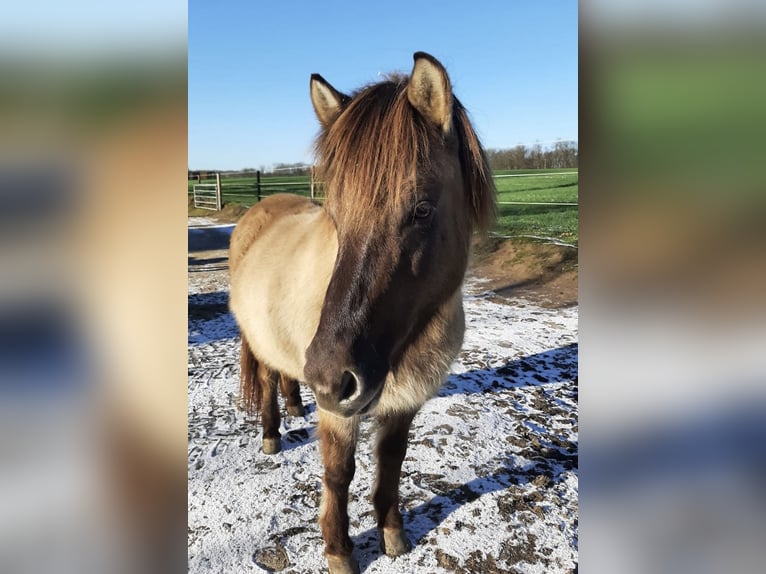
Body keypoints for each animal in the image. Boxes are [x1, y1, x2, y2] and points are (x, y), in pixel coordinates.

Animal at [229, 52, 495, 574]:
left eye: (422, 209)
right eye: (336, 212)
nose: (329, 378)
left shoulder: (404, 401)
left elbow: (391, 461)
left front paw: (392, 533)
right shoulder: (341, 410)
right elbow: (338, 472)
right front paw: (339, 551)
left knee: (285, 375)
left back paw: (296, 403)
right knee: (267, 378)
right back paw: (271, 433)